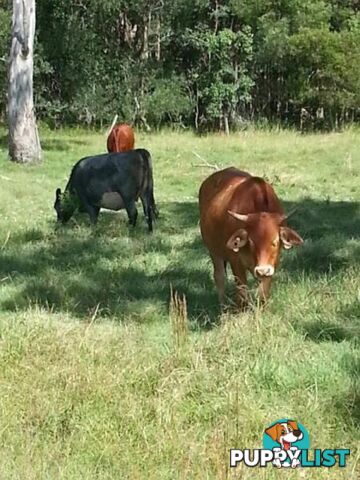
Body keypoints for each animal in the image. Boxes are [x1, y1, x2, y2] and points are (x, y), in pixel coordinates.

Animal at [198, 169, 302, 308]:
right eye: (251, 242)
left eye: (275, 242)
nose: (262, 271)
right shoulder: (236, 263)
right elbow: (242, 295)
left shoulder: (271, 265)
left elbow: (263, 294)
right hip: (214, 251)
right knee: (219, 277)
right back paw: (223, 306)